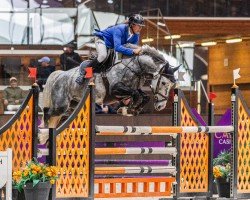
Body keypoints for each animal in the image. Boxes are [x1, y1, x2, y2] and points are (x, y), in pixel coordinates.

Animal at [42, 44, 179, 128]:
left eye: (172, 85)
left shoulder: (131, 90)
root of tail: (60, 75)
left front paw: (132, 109)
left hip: (72, 106)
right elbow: (136, 94)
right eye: (164, 83)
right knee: (47, 113)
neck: (135, 67)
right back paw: (43, 135)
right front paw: (131, 108)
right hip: (61, 105)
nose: (161, 106)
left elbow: (144, 96)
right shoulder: (115, 89)